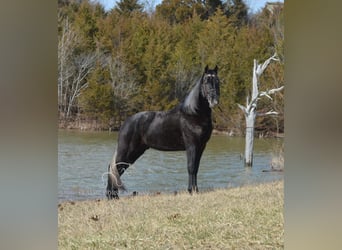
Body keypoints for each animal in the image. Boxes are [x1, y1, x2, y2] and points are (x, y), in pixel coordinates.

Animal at [105, 66, 220, 199]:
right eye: (206, 81)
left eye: (217, 81)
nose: (214, 101)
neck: (193, 114)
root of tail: (126, 122)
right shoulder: (192, 146)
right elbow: (191, 168)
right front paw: (191, 191)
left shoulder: (201, 146)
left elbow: (196, 168)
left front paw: (196, 190)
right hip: (127, 151)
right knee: (114, 168)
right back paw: (111, 196)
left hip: (136, 152)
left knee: (118, 169)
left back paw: (113, 196)